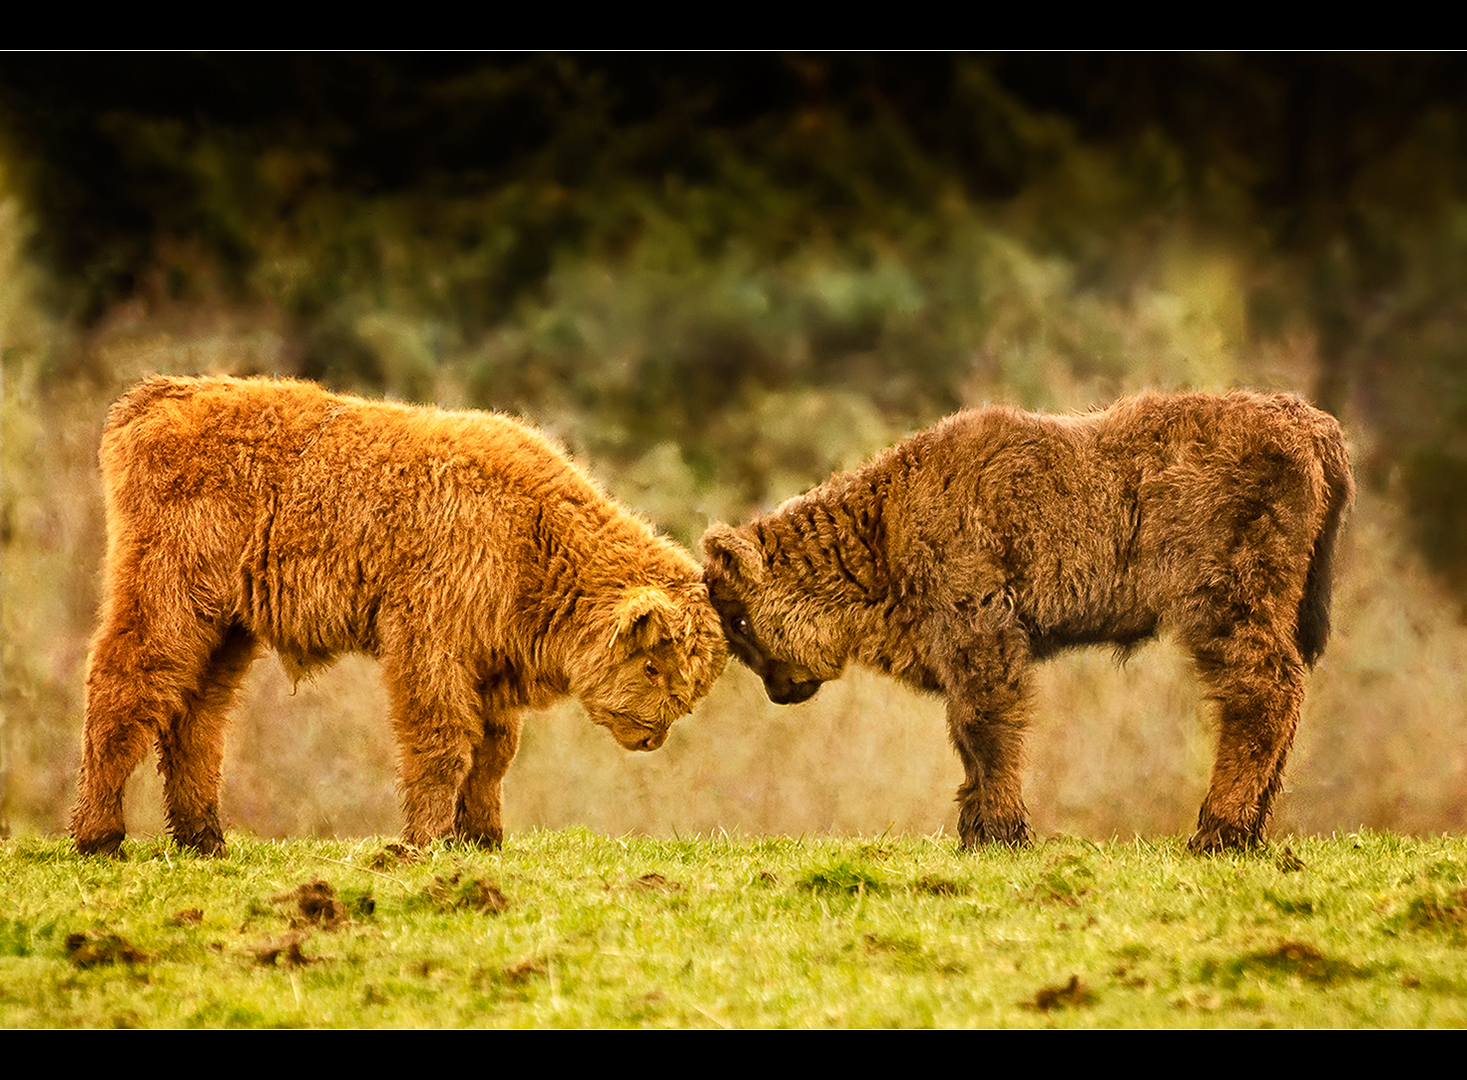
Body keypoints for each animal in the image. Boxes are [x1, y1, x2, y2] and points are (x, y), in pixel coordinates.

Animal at [74, 375, 727, 856]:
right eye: (652, 665)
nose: (652, 735)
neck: (532, 529)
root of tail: (160, 396)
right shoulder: (428, 646)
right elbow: (442, 743)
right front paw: (421, 842)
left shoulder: (489, 668)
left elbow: (492, 754)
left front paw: (482, 838)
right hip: (166, 597)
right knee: (123, 687)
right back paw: (99, 837)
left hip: (226, 626)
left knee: (195, 716)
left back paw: (205, 839)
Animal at [704, 387, 1355, 851]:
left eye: (738, 621)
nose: (778, 691)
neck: (883, 524)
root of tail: (1310, 423)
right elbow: (967, 735)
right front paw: (976, 830)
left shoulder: (979, 633)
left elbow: (983, 726)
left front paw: (999, 833)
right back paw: (1249, 833)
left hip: (1230, 604)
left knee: (1261, 693)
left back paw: (1217, 833)